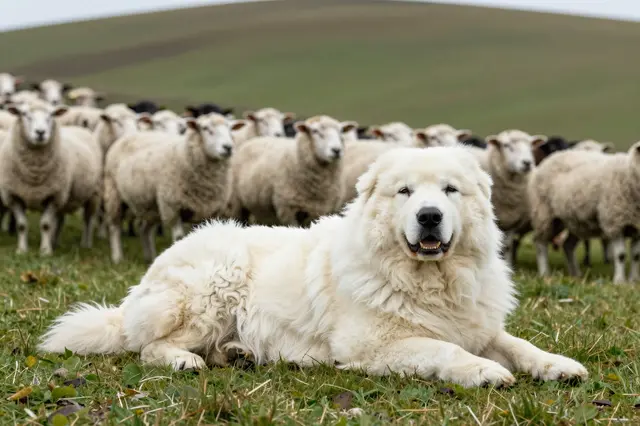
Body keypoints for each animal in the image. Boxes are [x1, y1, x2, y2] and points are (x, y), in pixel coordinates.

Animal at [0, 103, 101, 255]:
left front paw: (45, 251)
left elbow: (46, 224)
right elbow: (22, 225)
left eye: (51, 115)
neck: (34, 173)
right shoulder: (14, 196)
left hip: (93, 194)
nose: (40, 132)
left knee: (88, 220)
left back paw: (86, 244)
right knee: (60, 219)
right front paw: (22, 250)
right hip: (65, 197)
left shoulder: (54, 196)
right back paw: (55, 242)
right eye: (25, 114)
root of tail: (78, 127)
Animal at [104, 113, 247, 264]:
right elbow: (178, 238)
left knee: (144, 229)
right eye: (205, 128)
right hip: (114, 192)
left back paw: (150, 258)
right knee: (114, 226)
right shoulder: (172, 207)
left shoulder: (209, 211)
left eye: (230, 129)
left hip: (150, 205)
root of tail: (132, 135)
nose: (228, 147)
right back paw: (117, 257)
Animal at [529, 143, 640, 283]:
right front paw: (619, 281)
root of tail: (555, 155)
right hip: (545, 214)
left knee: (568, 245)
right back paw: (544, 273)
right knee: (540, 242)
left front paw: (633, 280)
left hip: (574, 222)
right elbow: (621, 255)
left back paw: (575, 274)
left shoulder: (637, 227)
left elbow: (636, 256)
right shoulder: (614, 222)